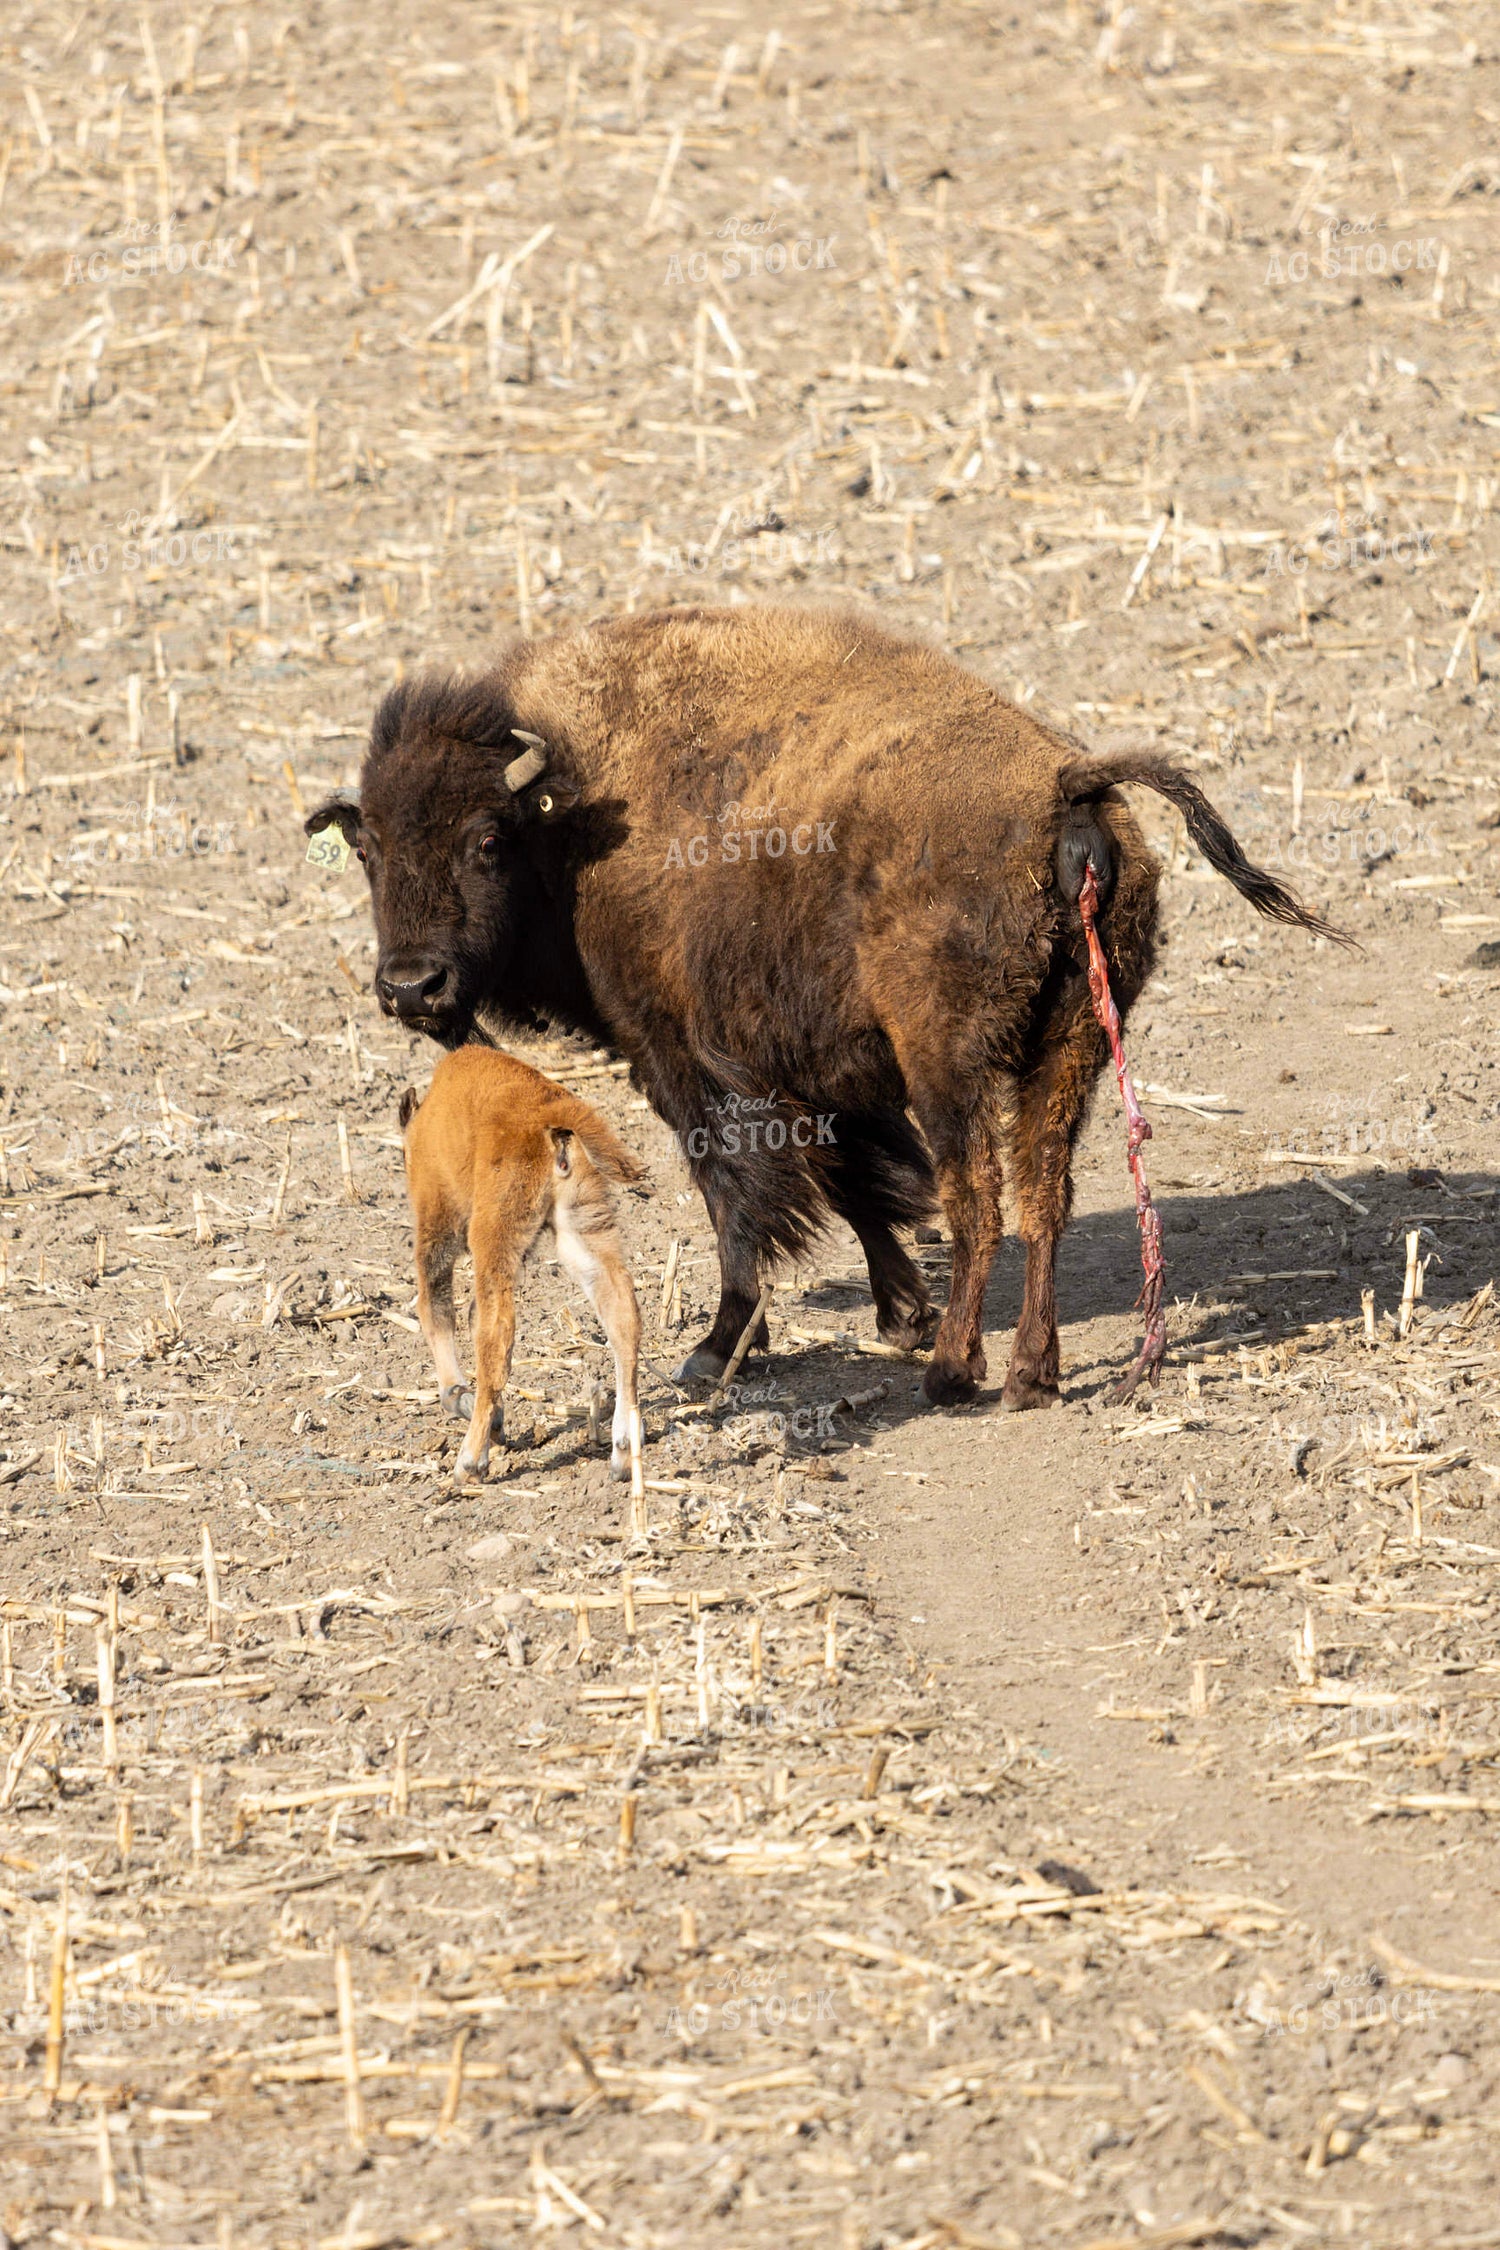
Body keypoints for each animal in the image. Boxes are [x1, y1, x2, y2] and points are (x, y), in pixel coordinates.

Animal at [307, 604, 1339, 1409]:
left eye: (486, 838)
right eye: (368, 848)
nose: (411, 986)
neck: (571, 808)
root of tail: (1064, 788)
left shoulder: (684, 1058)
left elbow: (741, 1191)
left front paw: (719, 1349)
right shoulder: (812, 1068)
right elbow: (851, 1182)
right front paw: (898, 1313)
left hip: (949, 1061)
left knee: (978, 1197)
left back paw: (954, 1373)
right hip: (1072, 1048)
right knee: (1043, 1194)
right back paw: (1026, 1376)